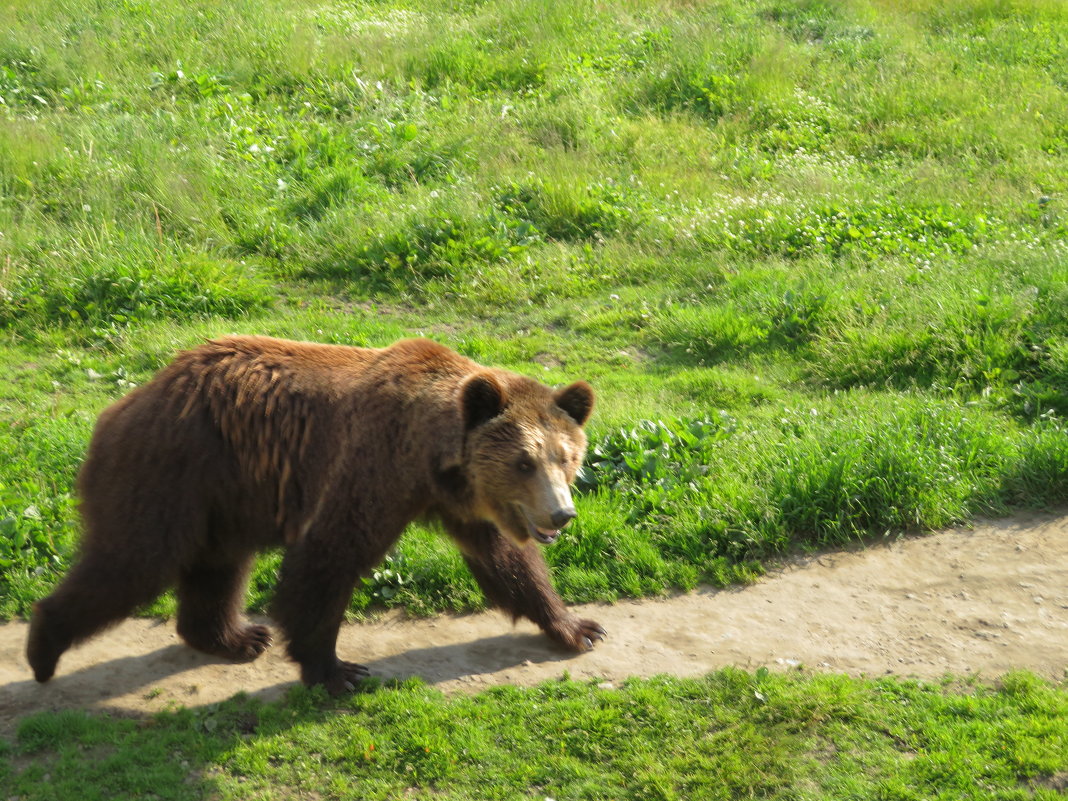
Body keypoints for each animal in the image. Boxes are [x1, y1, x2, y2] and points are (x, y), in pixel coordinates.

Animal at [27, 335, 602, 692]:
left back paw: (234, 637)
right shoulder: (372, 464)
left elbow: (508, 563)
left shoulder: (461, 502)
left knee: (217, 567)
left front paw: (578, 627)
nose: (561, 514)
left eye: (567, 456)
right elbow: (327, 557)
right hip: (172, 470)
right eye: (524, 461)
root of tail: (125, 403)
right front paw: (336, 670)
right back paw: (43, 648)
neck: (430, 458)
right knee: (132, 560)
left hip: (225, 497)